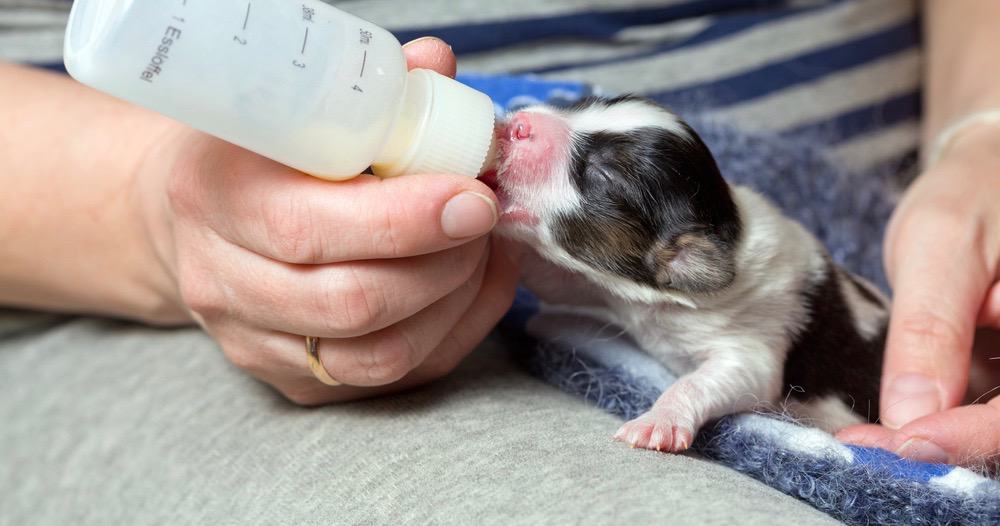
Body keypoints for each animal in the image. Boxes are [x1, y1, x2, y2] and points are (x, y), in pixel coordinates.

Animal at [484, 96, 892, 454]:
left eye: (602, 176)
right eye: (581, 104)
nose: (519, 123)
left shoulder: (752, 342)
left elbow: (708, 380)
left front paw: (659, 421)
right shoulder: (597, 283)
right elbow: (547, 278)